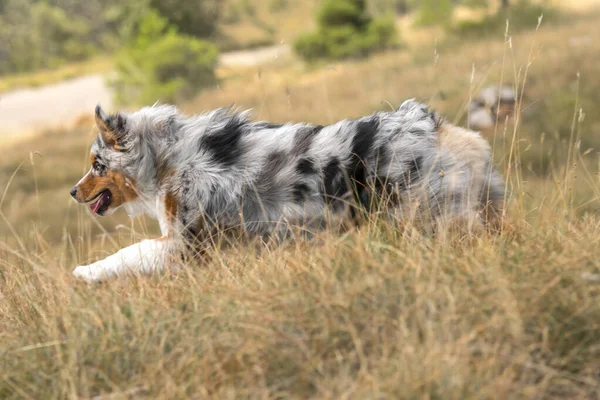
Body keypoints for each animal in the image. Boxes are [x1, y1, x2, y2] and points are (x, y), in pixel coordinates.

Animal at [69, 99, 502, 282]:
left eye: (96, 165)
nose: (73, 192)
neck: (165, 158)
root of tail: (433, 125)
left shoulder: (186, 243)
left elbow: (130, 252)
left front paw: (85, 272)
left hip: (429, 217)